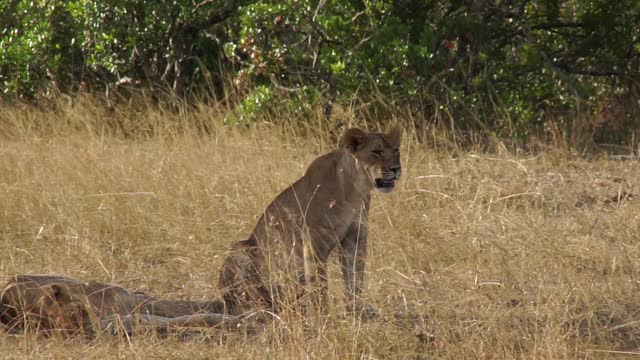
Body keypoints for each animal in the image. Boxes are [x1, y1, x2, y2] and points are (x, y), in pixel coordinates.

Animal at [219, 126, 400, 316]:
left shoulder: (355, 238)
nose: (396, 168)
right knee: (245, 299)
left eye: (396, 150)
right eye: (377, 152)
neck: (355, 191)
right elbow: (320, 283)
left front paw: (355, 311)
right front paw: (324, 315)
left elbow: (355, 278)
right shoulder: (314, 240)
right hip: (241, 249)